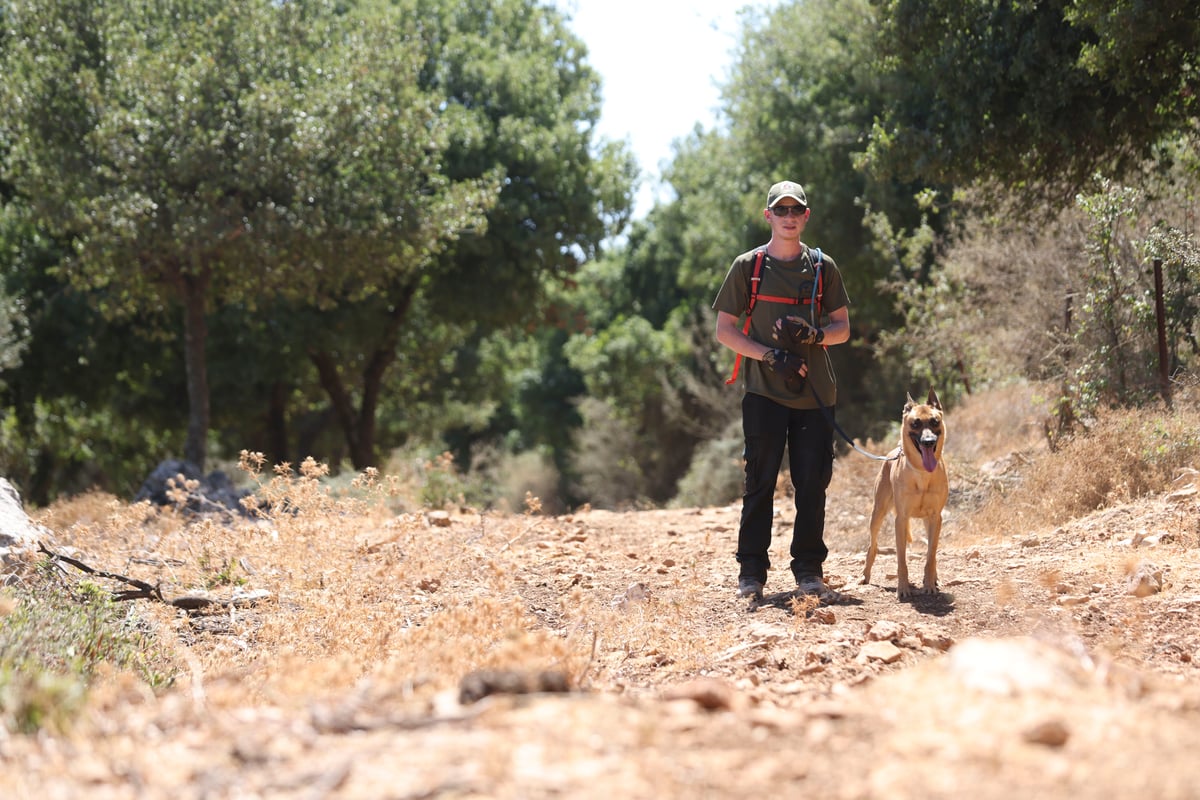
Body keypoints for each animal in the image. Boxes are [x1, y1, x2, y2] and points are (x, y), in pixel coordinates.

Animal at [864, 388, 945, 599]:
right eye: (915, 423)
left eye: (934, 421)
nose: (928, 442)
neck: (922, 473)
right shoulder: (900, 519)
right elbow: (901, 559)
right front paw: (903, 588)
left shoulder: (935, 518)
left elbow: (931, 555)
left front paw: (929, 584)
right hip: (877, 515)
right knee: (872, 546)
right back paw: (865, 575)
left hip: (926, 521)